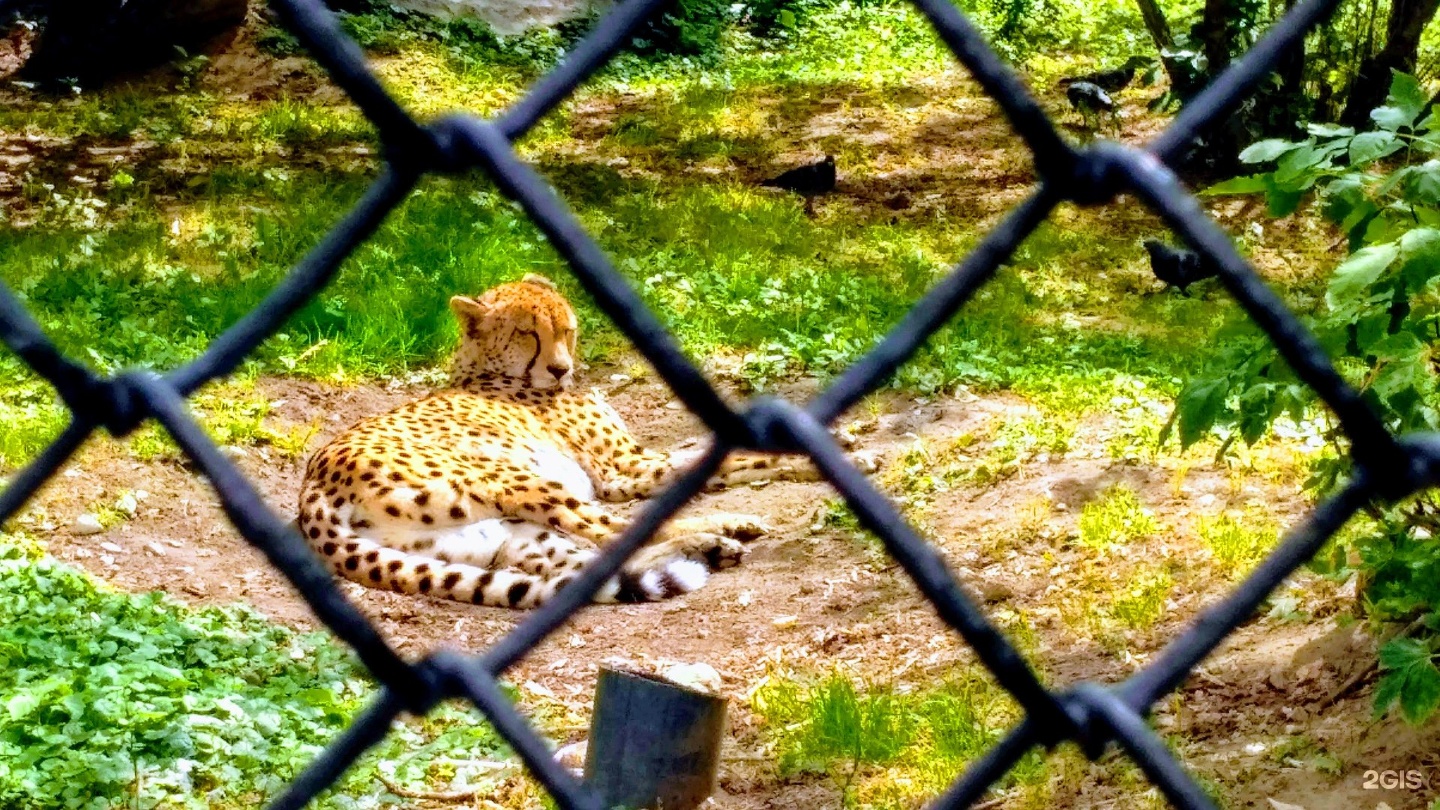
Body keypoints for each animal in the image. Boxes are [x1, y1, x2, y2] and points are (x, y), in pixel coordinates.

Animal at [295, 270, 835, 605]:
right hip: (516, 480)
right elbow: (735, 459)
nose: (560, 368)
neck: (489, 372)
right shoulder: (622, 470)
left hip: (507, 538)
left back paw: (714, 545)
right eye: (527, 334)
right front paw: (841, 451)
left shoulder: (628, 467)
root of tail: (312, 489)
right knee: (615, 531)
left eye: (566, 329)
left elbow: (706, 456)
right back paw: (715, 534)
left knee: (593, 560)